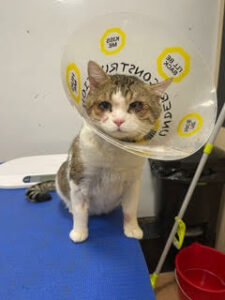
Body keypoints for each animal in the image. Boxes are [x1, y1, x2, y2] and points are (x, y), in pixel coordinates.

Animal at [25, 59, 171, 243]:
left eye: (136, 105)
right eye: (104, 104)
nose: (118, 120)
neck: (114, 149)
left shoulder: (133, 182)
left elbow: (130, 209)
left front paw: (132, 228)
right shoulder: (79, 178)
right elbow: (80, 209)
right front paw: (79, 231)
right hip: (63, 172)